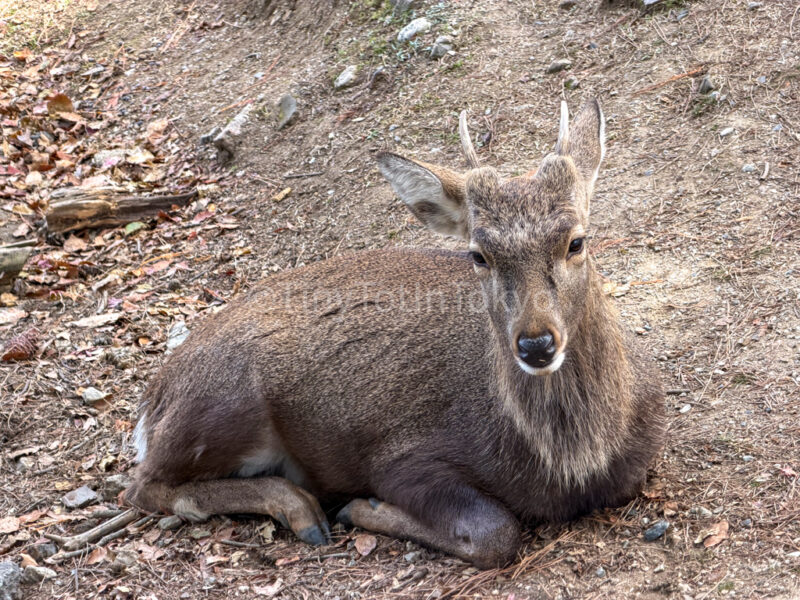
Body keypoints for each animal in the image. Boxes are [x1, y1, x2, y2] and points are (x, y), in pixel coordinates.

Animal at [126, 99, 665, 569]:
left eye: (577, 241)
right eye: (478, 255)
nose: (536, 344)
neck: (575, 464)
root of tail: (151, 403)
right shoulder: (402, 457)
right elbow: (496, 531)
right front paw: (364, 508)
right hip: (225, 402)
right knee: (141, 486)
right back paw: (302, 511)